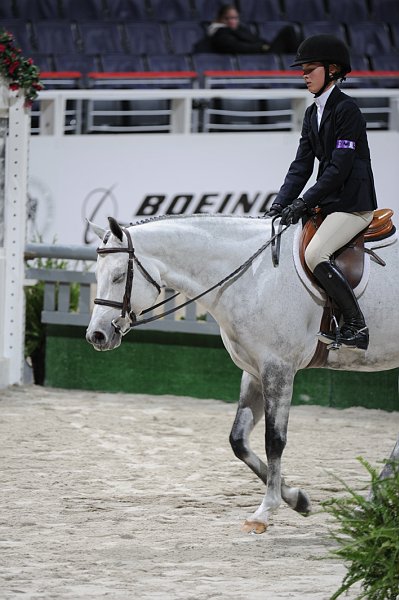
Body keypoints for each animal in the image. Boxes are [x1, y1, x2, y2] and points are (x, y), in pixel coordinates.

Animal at [86, 213, 398, 532]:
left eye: (119, 276)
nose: (96, 336)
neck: (253, 276)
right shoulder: (255, 371)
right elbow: (238, 440)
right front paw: (297, 500)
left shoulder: (278, 368)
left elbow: (275, 440)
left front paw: (264, 511)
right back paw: (371, 501)